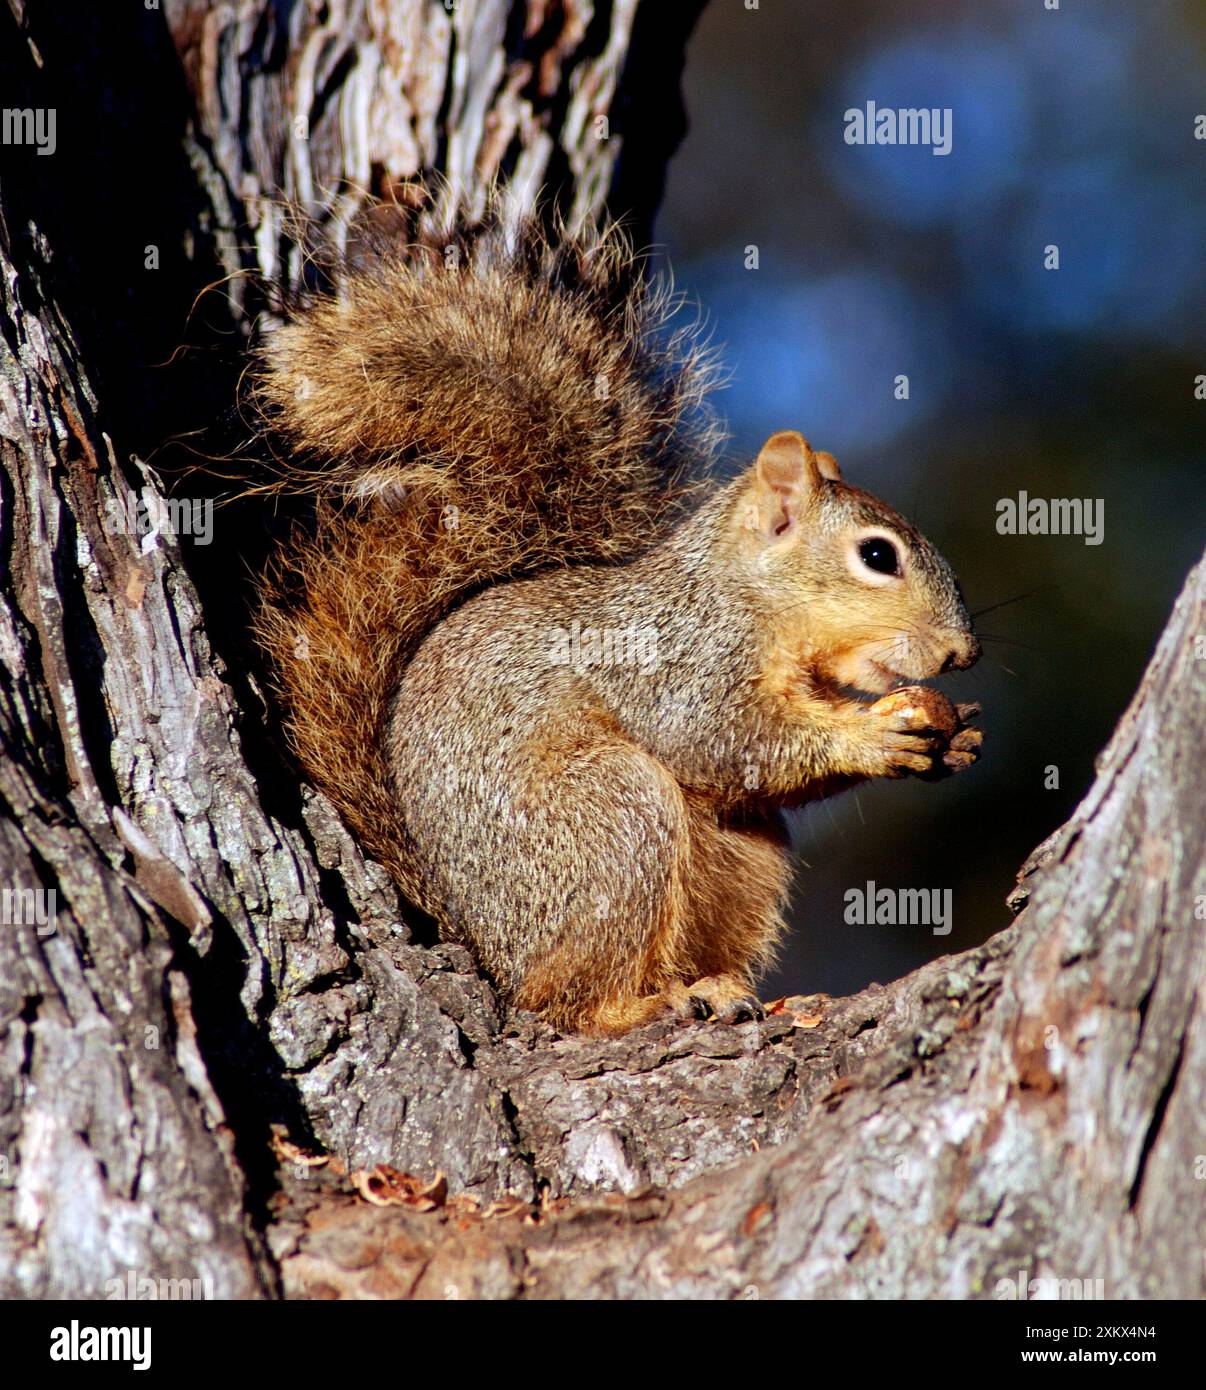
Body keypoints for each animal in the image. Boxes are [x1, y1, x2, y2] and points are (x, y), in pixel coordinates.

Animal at [251, 202, 978, 1034]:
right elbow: (726, 742)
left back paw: (744, 992)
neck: (748, 598)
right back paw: (649, 1003)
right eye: (878, 556)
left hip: (744, 858)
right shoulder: (682, 662)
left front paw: (955, 738)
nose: (962, 652)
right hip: (609, 821)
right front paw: (872, 734)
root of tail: (484, 944)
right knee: (564, 1002)